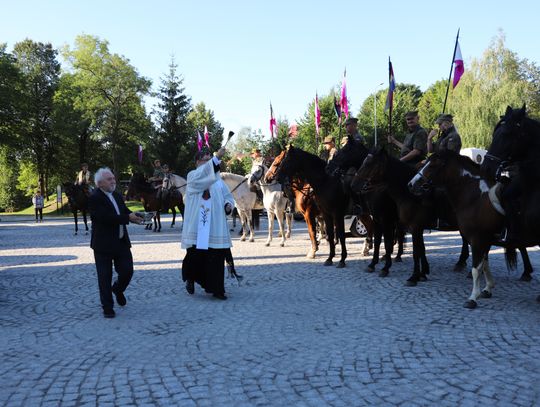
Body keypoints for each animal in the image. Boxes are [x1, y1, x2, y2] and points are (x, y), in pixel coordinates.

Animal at [410, 151, 536, 308]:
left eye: (432, 165)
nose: (411, 184)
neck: (475, 197)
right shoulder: (485, 241)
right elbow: (484, 265)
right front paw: (487, 288)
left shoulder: (477, 239)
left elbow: (476, 268)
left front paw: (472, 298)